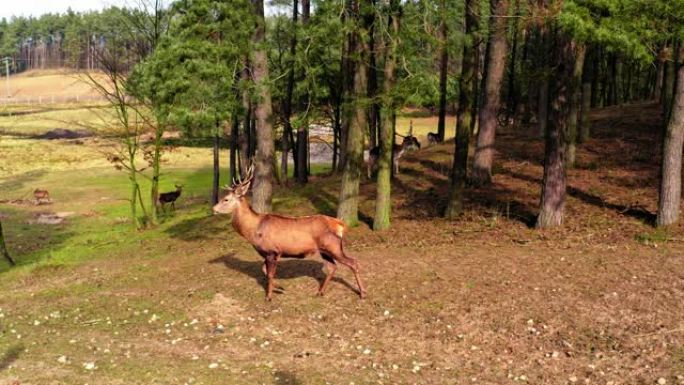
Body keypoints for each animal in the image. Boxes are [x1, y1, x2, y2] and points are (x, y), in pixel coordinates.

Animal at [214, 165, 366, 300]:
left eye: (226, 199)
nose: (213, 208)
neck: (254, 230)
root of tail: (340, 224)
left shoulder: (272, 250)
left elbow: (269, 274)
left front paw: (269, 296)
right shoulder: (267, 253)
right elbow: (264, 270)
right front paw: (280, 287)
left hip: (333, 246)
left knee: (353, 262)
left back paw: (362, 293)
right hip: (324, 250)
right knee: (333, 267)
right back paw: (320, 292)